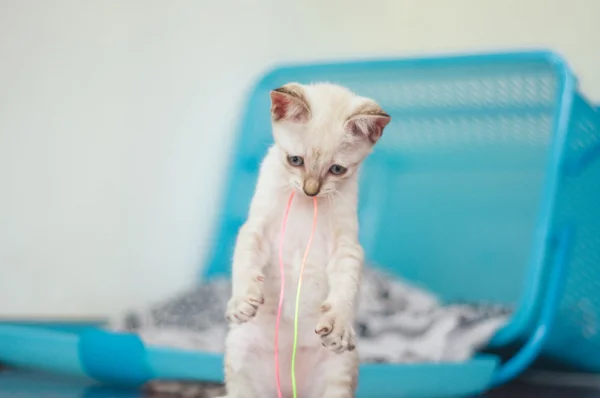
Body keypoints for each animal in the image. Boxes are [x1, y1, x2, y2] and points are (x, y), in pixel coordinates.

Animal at [224, 81, 390, 398]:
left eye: (337, 169)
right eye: (295, 160)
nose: (310, 190)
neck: (304, 205)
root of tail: (291, 391)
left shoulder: (346, 246)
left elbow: (346, 284)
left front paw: (337, 323)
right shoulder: (256, 229)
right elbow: (244, 260)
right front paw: (242, 302)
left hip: (339, 372)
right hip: (239, 355)